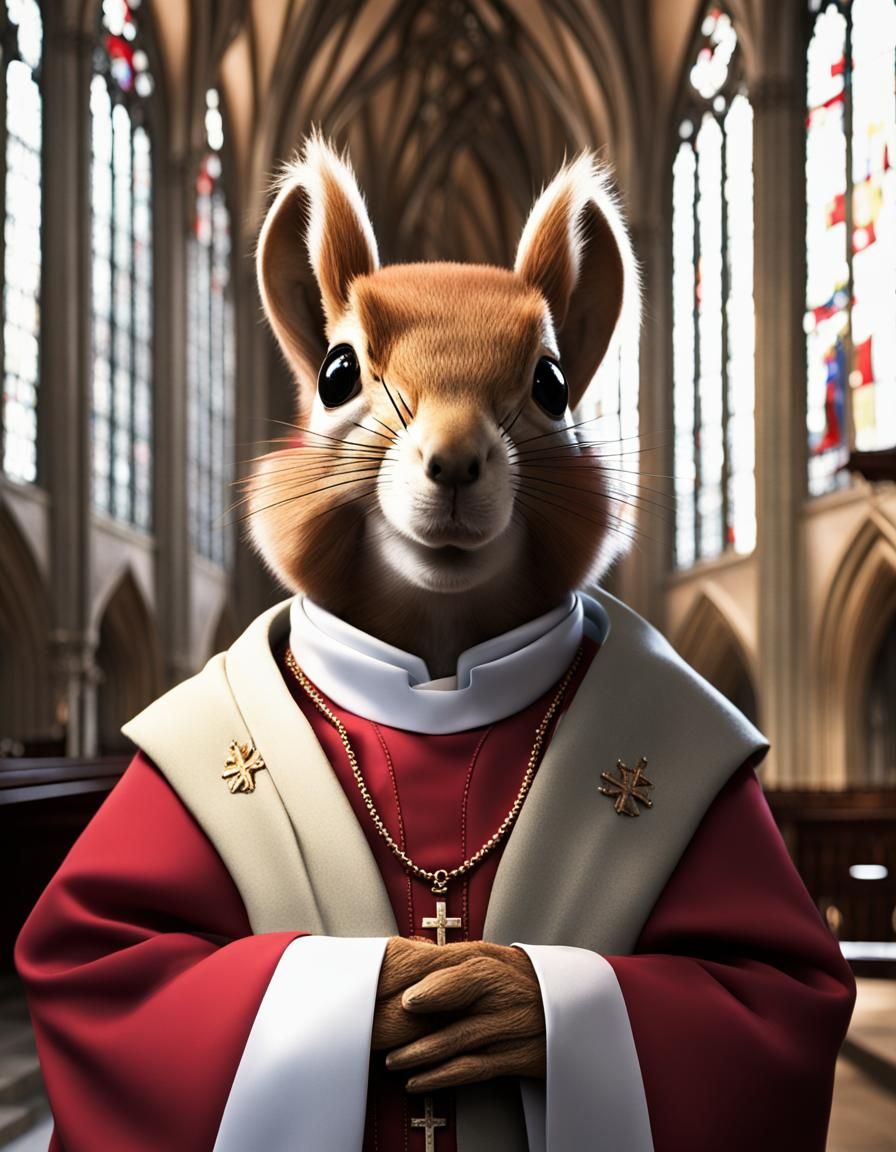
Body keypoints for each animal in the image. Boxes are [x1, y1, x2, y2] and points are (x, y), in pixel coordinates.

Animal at [248, 135, 638, 1096]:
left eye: (552, 384)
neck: (436, 671)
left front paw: (498, 995)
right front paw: (399, 983)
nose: (456, 460)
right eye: (337, 374)